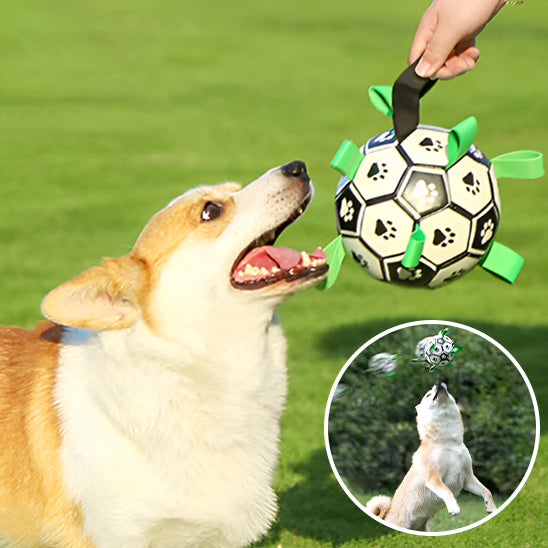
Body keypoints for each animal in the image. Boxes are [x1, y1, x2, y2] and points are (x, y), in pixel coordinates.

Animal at [368, 382, 496, 532]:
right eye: (428, 395)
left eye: (447, 390)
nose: (438, 383)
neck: (448, 442)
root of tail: (385, 517)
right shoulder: (433, 477)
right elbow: (446, 491)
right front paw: (454, 507)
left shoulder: (467, 478)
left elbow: (486, 490)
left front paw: (491, 507)